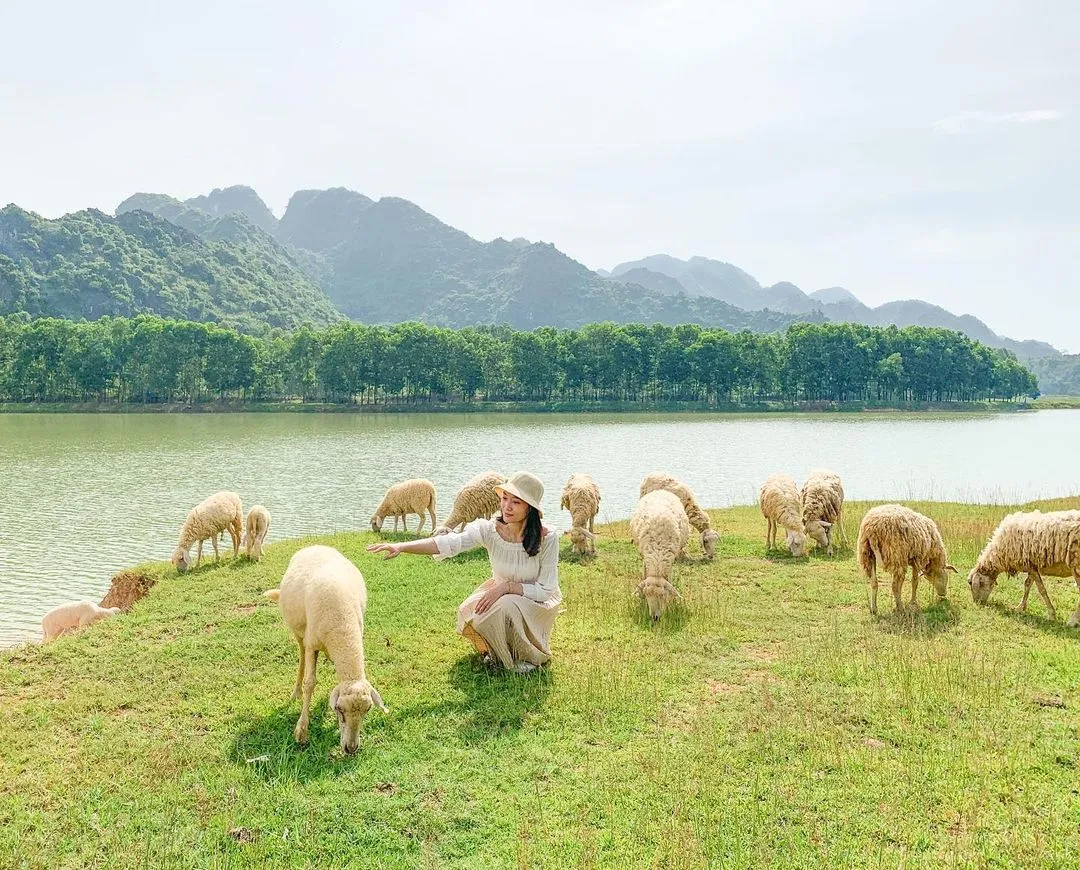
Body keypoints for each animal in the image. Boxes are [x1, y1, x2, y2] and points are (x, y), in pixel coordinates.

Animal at [264, 548, 390, 751]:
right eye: (339, 709)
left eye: (368, 709)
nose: (351, 749)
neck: (343, 628)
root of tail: (315, 546)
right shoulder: (312, 643)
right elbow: (310, 683)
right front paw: (301, 730)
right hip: (299, 633)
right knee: (301, 654)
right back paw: (296, 692)